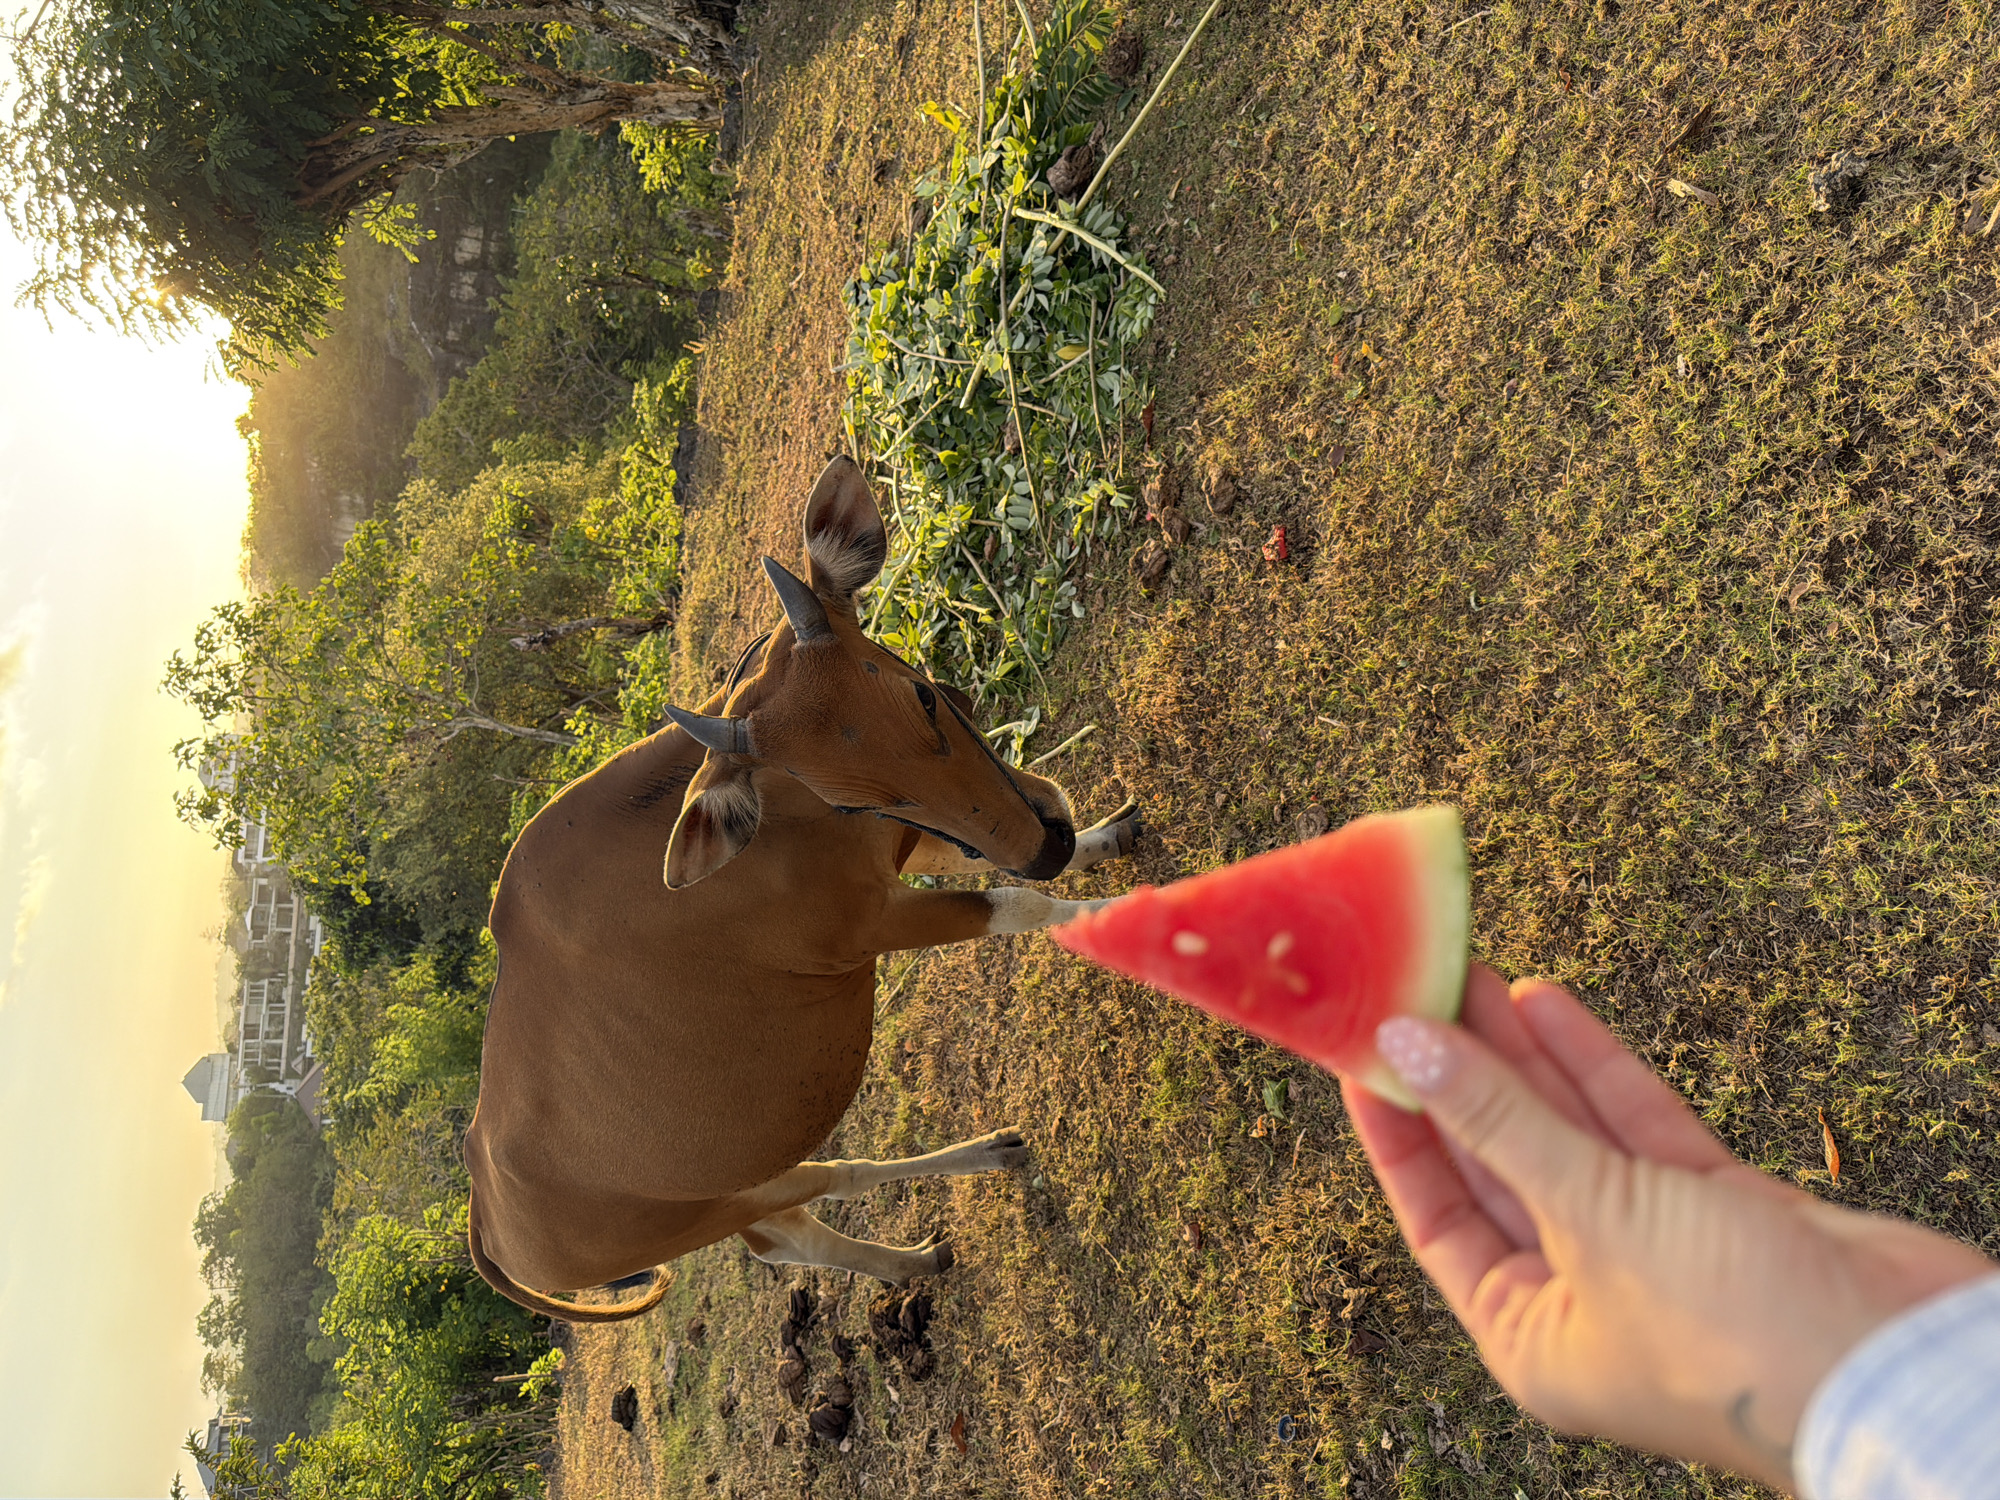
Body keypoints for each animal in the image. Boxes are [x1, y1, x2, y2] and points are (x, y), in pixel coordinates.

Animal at [464, 455, 1143, 1323]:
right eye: (842, 796)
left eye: (923, 694)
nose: (1048, 844)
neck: (782, 826)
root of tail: (487, 1218)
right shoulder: (874, 923)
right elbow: (1017, 903)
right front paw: (1125, 916)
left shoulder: (911, 845)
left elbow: (992, 864)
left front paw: (1103, 840)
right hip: (723, 1205)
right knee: (817, 1201)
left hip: (735, 1193)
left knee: (792, 1228)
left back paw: (943, 1222)